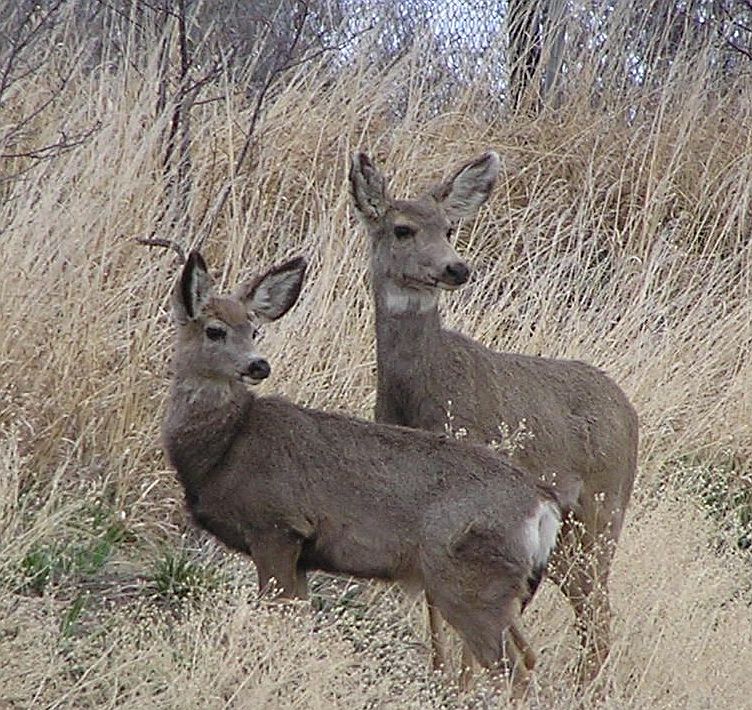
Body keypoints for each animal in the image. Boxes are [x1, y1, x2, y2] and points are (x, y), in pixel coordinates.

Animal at [160, 249, 579, 695]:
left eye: (253, 329)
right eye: (215, 331)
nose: (258, 365)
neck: (223, 448)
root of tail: (542, 504)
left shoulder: (277, 526)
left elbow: (277, 615)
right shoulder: (301, 554)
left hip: (471, 582)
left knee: (514, 673)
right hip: (504, 589)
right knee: (529, 658)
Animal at [349, 151, 639, 683]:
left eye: (450, 229)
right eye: (402, 229)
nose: (456, 268)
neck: (422, 399)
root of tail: (629, 412)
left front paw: (463, 681)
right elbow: (432, 595)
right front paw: (440, 672)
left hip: (603, 507)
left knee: (597, 606)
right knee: (588, 604)